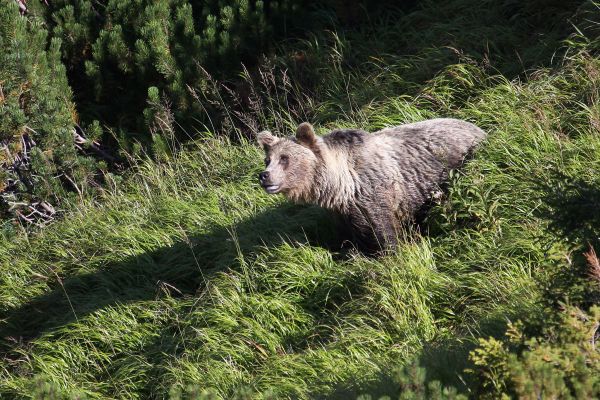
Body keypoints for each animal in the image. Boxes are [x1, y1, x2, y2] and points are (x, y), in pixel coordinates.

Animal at [258, 117, 488, 252]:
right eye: (268, 159)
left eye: (285, 158)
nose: (264, 176)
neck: (341, 186)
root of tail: (478, 127)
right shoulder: (342, 212)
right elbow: (348, 238)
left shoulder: (374, 195)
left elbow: (384, 233)